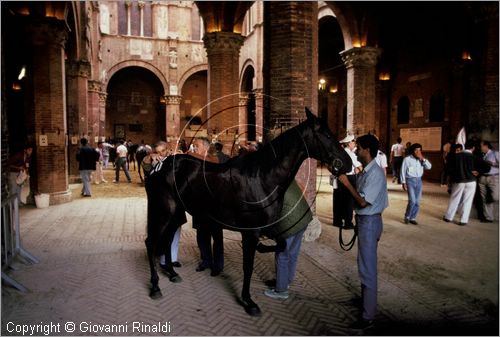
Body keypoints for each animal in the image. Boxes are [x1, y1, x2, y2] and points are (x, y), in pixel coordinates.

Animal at [145, 107, 352, 316]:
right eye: (326, 134)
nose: (347, 163)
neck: (262, 178)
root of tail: (159, 166)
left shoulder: (267, 229)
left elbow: (282, 245)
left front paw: (263, 250)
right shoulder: (250, 232)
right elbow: (248, 266)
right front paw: (248, 301)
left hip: (175, 213)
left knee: (167, 239)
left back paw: (172, 273)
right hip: (164, 211)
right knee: (151, 242)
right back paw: (155, 287)